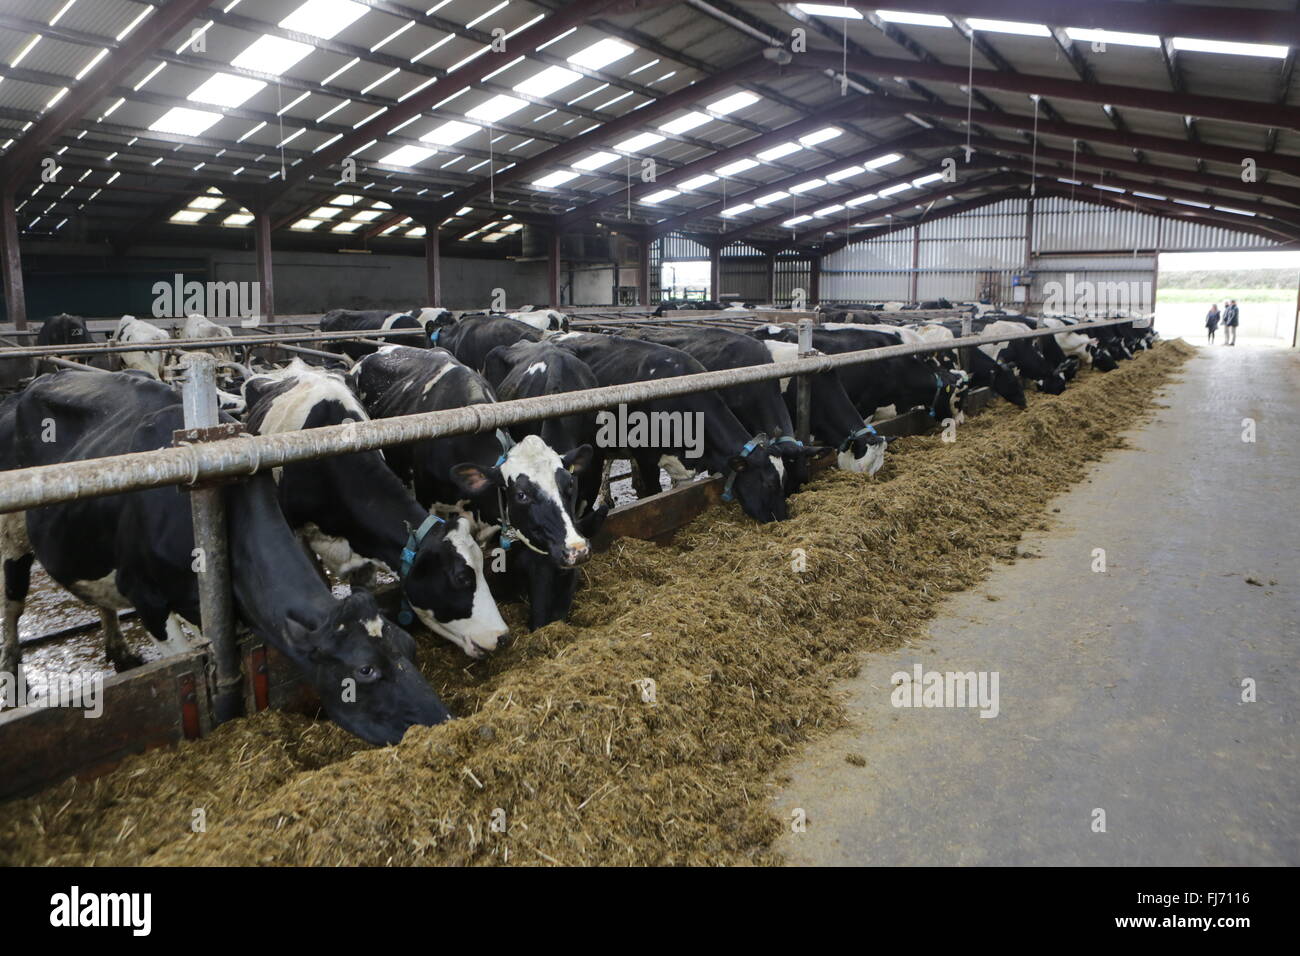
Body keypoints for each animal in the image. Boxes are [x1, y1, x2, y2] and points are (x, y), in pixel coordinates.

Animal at [0, 369, 449, 743]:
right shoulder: (148, 600)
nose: (442, 721)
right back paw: (12, 679)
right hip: (13, 536)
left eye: (409, 646)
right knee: (13, 604)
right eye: (365, 670)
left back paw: (119, 650)